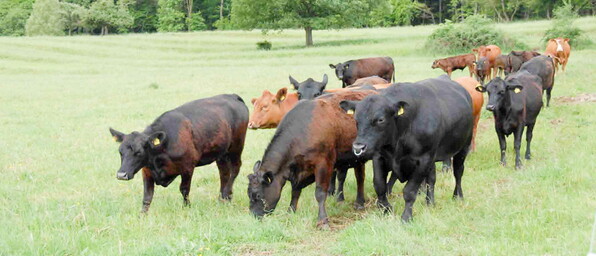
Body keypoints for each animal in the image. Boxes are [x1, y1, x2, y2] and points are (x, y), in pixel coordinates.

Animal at [110, 94, 248, 212]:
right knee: (224, 173)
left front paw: (187, 207)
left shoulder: (187, 167)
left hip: (236, 147)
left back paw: (226, 193)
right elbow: (147, 196)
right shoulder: (146, 171)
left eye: (139, 152)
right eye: (120, 152)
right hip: (222, 153)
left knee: (235, 169)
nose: (121, 175)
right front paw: (142, 215)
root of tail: (232, 96)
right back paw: (223, 198)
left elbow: (184, 190)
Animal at [247, 90, 378, 228]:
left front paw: (322, 221)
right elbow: (295, 191)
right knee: (358, 177)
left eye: (258, 195)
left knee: (361, 178)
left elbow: (320, 193)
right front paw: (291, 212)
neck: (304, 130)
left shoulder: (323, 164)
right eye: (248, 193)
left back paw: (361, 203)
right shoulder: (297, 170)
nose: (254, 216)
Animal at [342, 75, 472, 221]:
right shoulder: (379, 157)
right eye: (356, 119)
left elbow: (409, 191)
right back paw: (430, 202)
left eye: (380, 119)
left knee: (458, 172)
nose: (359, 147)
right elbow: (380, 186)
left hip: (463, 148)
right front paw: (386, 209)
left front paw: (406, 217)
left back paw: (457, 196)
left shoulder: (423, 160)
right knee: (431, 179)